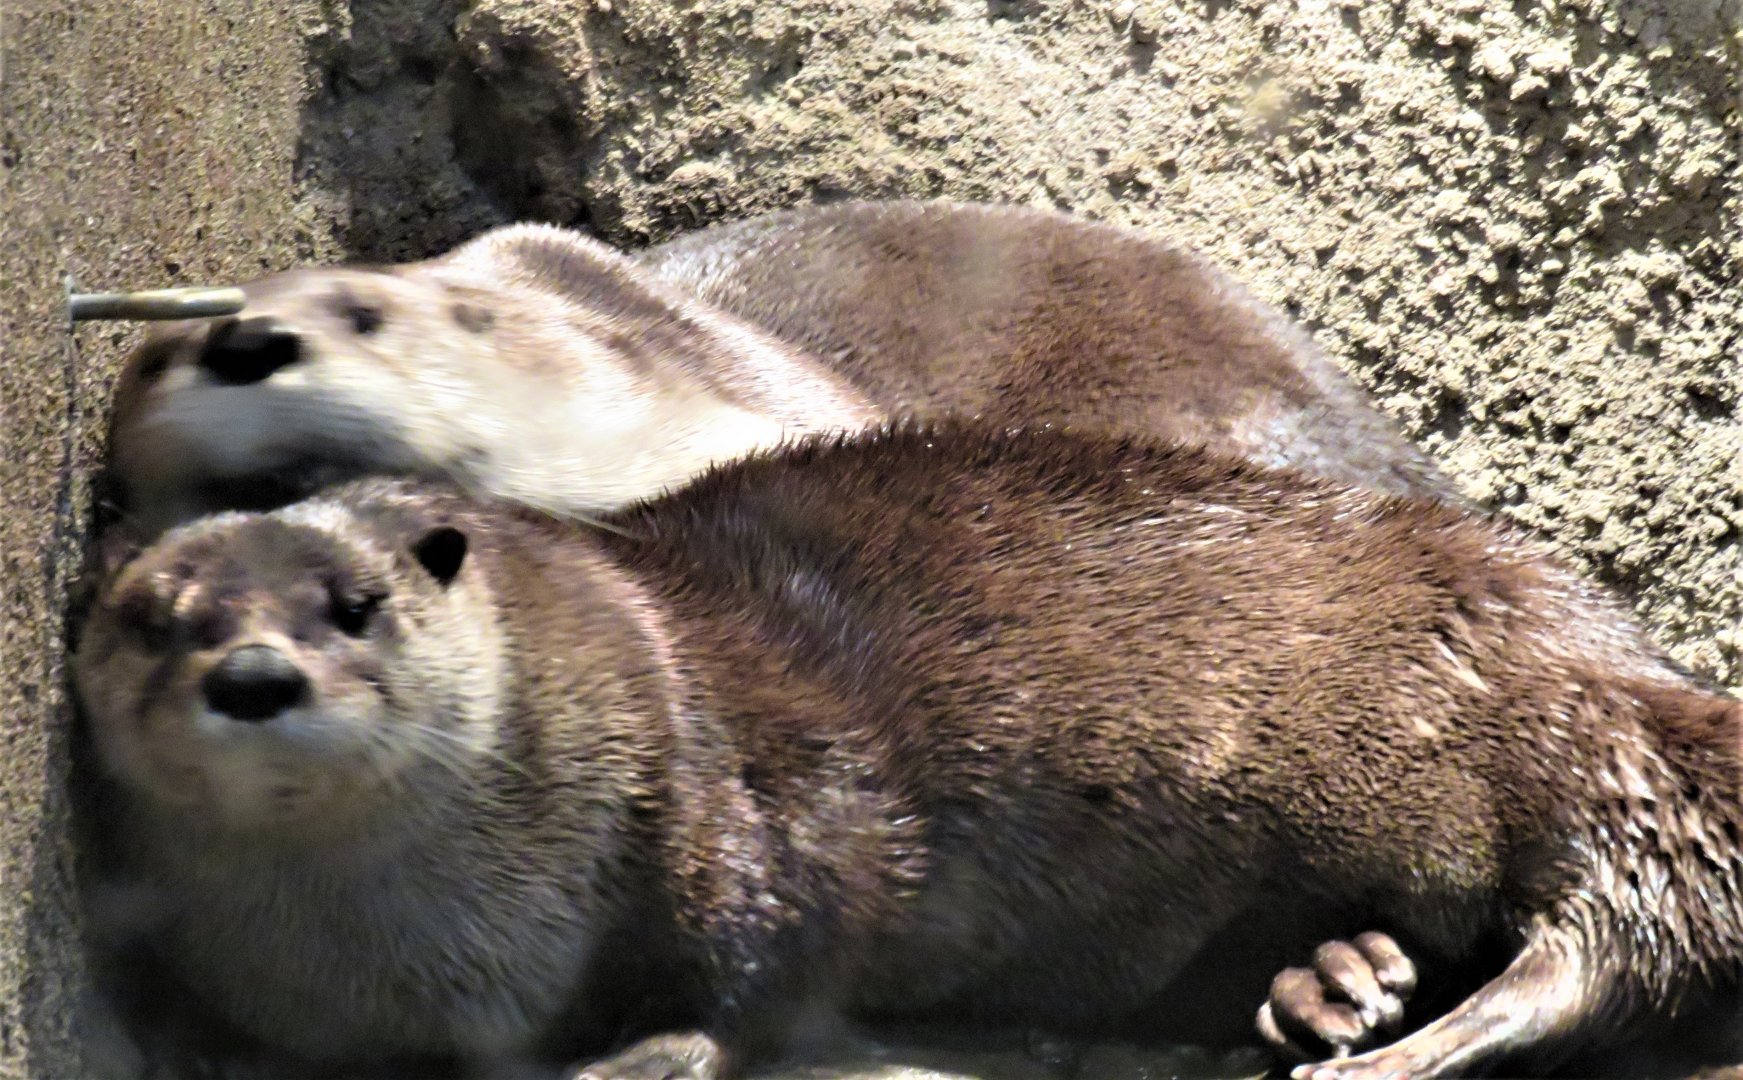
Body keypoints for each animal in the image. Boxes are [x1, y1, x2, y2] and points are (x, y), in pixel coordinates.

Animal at [76, 423, 1740, 1079]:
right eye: (153, 618)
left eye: (354, 605)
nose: (251, 672)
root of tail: (1612, 636)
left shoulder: (745, 792)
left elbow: (777, 948)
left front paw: (650, 1050)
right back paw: (1330, 988)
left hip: (1543, 715)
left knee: (1630, 916)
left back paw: (1423, 1039)